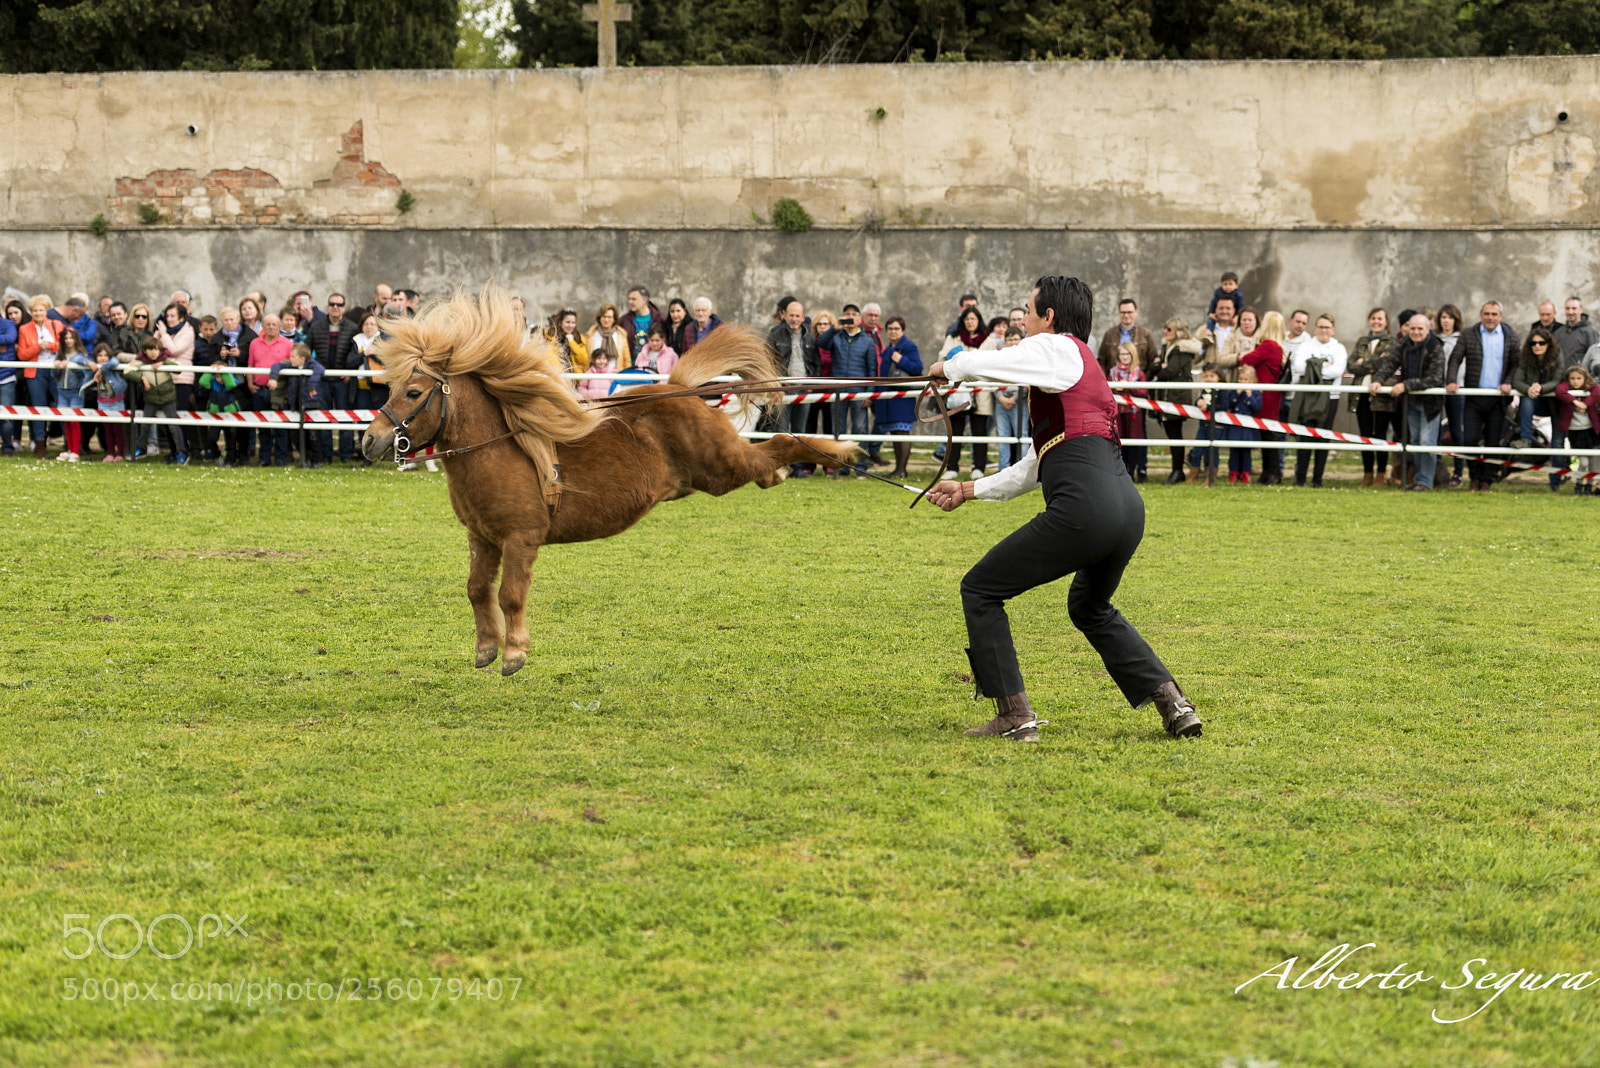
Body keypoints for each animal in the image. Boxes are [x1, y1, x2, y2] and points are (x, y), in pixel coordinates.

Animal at [360, 288, 862, 676]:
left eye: (413, 392)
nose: (369, 439)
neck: (499, 450)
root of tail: (676, 388)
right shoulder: (482, 539)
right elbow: (477, 590)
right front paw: (486, 649)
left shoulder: (520, 540)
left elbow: (510, 595)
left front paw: (514, 653)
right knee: (768, 459)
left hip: (723, 466)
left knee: (779, 441)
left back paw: (841, 452)